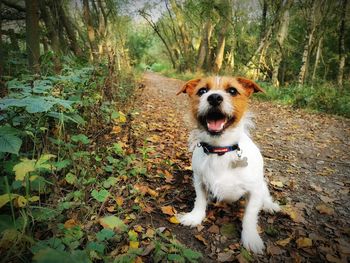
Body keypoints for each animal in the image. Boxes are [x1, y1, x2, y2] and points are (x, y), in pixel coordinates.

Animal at [176, 76, 280, 254]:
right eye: (202, 91)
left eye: (232, 90)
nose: (214, 97)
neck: (220, 149)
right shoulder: (199, 180)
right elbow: (200, 200)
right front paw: (195, 217)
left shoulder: (254, 190)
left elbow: (250, 216)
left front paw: (250, 237)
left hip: (262, 184)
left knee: (265, 196)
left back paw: (269, 205)